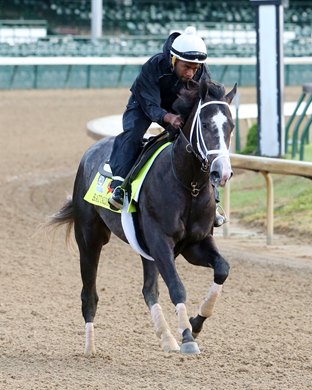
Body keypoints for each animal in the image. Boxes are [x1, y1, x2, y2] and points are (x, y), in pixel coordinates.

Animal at [50, 77, 238, 354]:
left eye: (231, 126)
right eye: (204, 124)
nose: (221, 172)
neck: (187, 184)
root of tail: (90, 151)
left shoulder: (194, 244)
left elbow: (222, 269)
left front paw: (195, 323)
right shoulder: (161, 240)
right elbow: (177, 287)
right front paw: (187, 336)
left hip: (146, 248)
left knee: (149, 289)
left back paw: (166, 338)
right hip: (89, 238)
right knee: (89, 294)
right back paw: (90, 347)